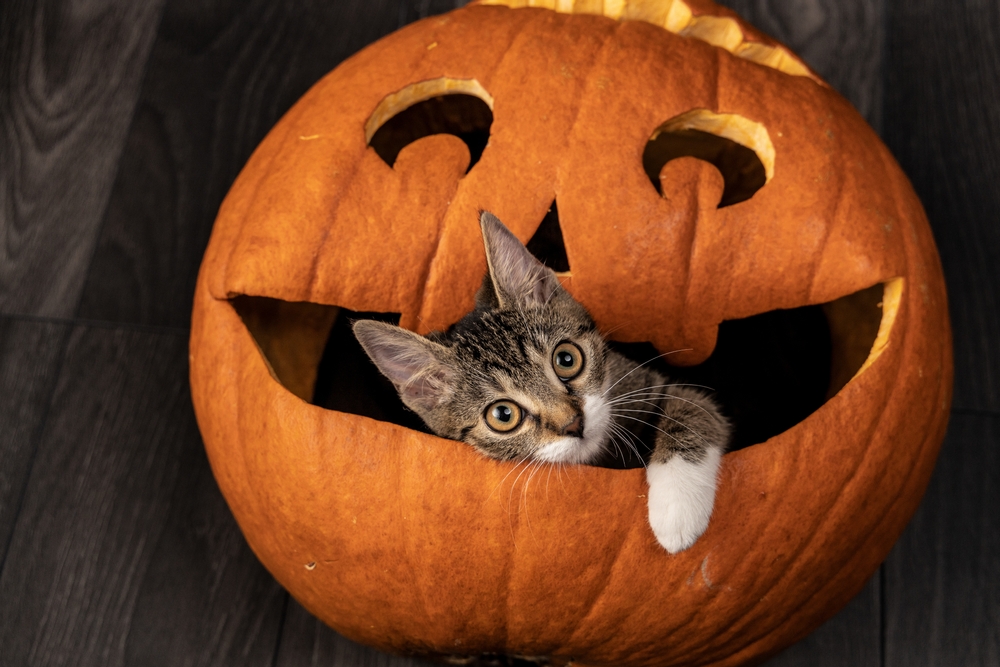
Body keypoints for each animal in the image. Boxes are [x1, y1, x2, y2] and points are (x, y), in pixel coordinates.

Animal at [356, 210, 732, 552]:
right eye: (503, 415)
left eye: (566, 359)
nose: (573, 424)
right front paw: (678, 512)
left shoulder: (650, 382)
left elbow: (692, 406)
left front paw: (678, 507)